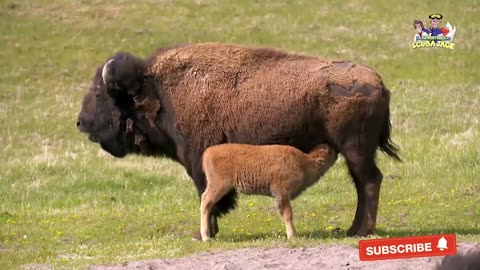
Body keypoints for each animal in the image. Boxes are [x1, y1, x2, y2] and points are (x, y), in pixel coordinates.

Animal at [200, 143, 338, 240]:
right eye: (329, 152)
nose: (335, 150)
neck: (303, 162)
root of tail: (207, 152)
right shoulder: (282, 192)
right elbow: (288, 214)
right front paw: (292, 236)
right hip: (219, 185)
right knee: (206, 202)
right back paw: (206, 237)